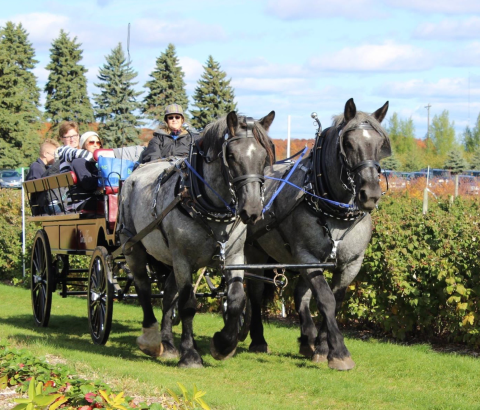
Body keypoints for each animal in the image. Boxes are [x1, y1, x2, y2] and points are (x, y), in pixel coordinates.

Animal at [119, 111, 274, 368]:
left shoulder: (234, 256)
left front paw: (223, 345)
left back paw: (168, 343)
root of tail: (133, 176)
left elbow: (236, 299)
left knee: (168, 295)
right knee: (143, 287)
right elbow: (188, 305)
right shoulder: (183, 259)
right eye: (231, 156)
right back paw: (151, 340)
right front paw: (190, 354)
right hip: (134, 246)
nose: (252, 210)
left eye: (263, 156)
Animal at [244, 98, 390, 372]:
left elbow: (334, 301)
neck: (333, 209)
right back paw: (258, 340)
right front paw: (339, 352)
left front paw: (323, 348)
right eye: (348, 144)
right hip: (255, 250)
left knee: (301, 295)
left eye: (380, 144)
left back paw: (308, 340)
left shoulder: (351, 263)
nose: (370, 194)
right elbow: (325, 300)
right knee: (255, 292)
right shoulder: (307, 257)